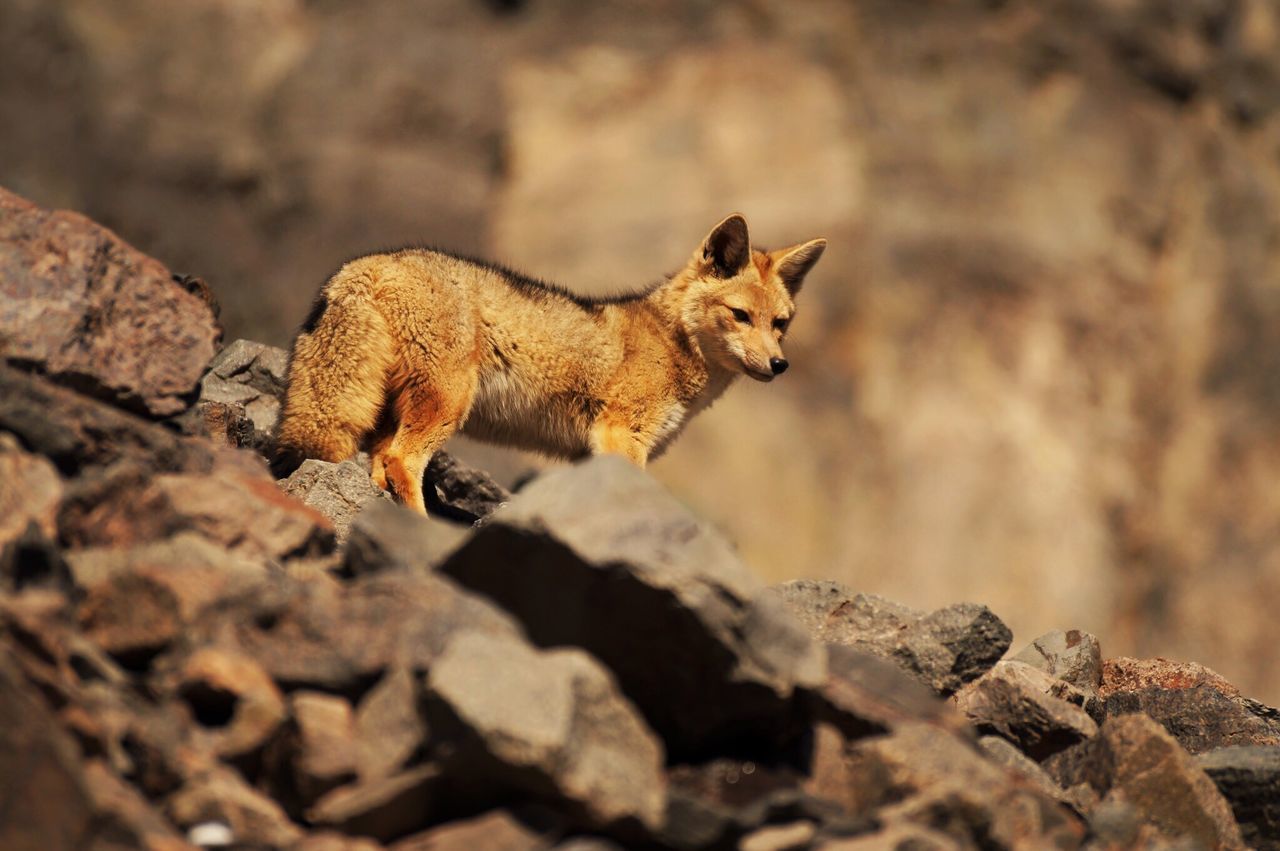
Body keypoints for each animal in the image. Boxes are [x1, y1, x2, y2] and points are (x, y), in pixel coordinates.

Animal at [275, 216, 824, 514]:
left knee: (379, 463)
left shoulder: (592, 454)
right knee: (400, 462)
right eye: (740, 315)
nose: (779, 364)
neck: (671, 342)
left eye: (780, 323)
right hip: (446, 406)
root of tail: (370, 263)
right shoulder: (621, 437)